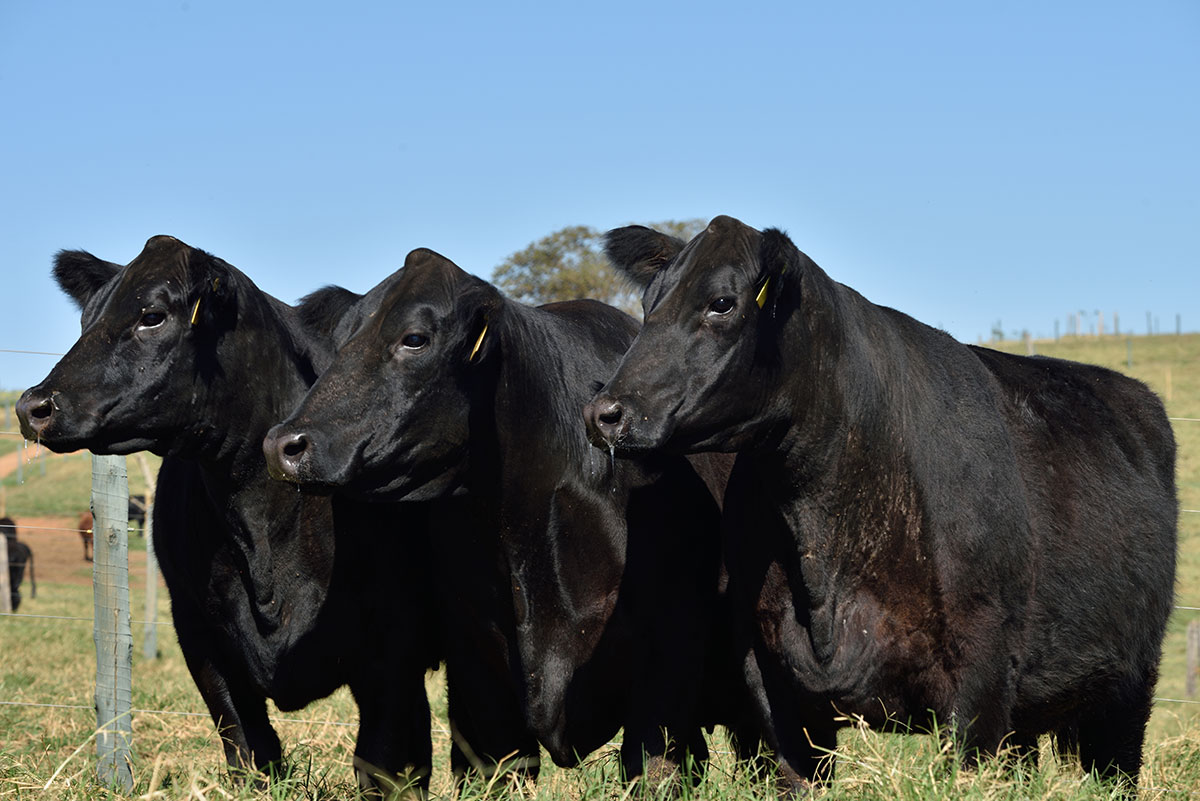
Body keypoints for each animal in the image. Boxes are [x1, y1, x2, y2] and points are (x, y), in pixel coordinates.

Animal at [14, 237, 444, 796]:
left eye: (152, 315)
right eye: (87, 318)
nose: (32, 406)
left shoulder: (393, 646)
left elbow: (385, 762)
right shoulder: (198, 629)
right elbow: (247, 745)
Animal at [265, 248, 758, 781]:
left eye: (415, 339)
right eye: (339, 341)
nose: (282, 444)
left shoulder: (668, 651)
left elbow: (652, 763)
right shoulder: (477, 662)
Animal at [585, 215, 1176, 791]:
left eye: (722, 303)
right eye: (648, 304)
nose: (604, 413)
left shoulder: (981, 677)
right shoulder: (773, 686)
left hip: (1127, 693)